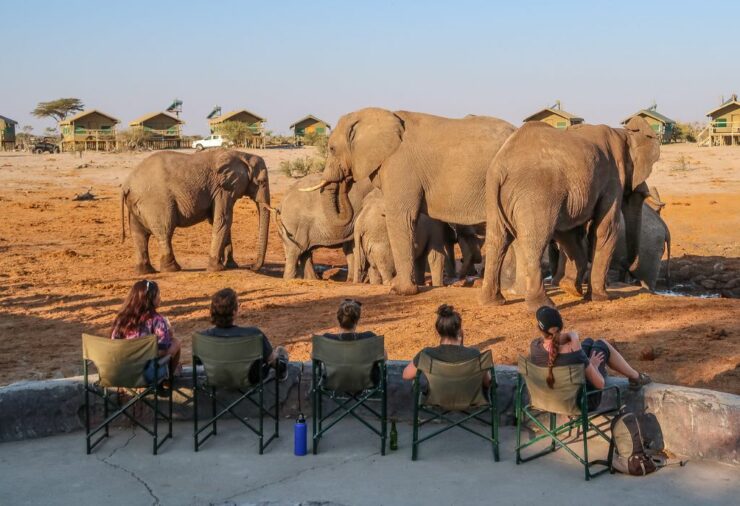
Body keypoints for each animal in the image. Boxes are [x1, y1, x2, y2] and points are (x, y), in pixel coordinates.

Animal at [480, 116, 660, 310]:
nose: (628, 266)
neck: (623, 133)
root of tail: (500, 166)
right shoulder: (613, 179)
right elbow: (605, 229)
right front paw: (601, 298)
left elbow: (568, 232)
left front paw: (570, 288)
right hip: (536, 193)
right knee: (535, 241)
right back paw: (542, 305)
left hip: (494, 194)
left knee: (497, 239)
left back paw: (492, 302)